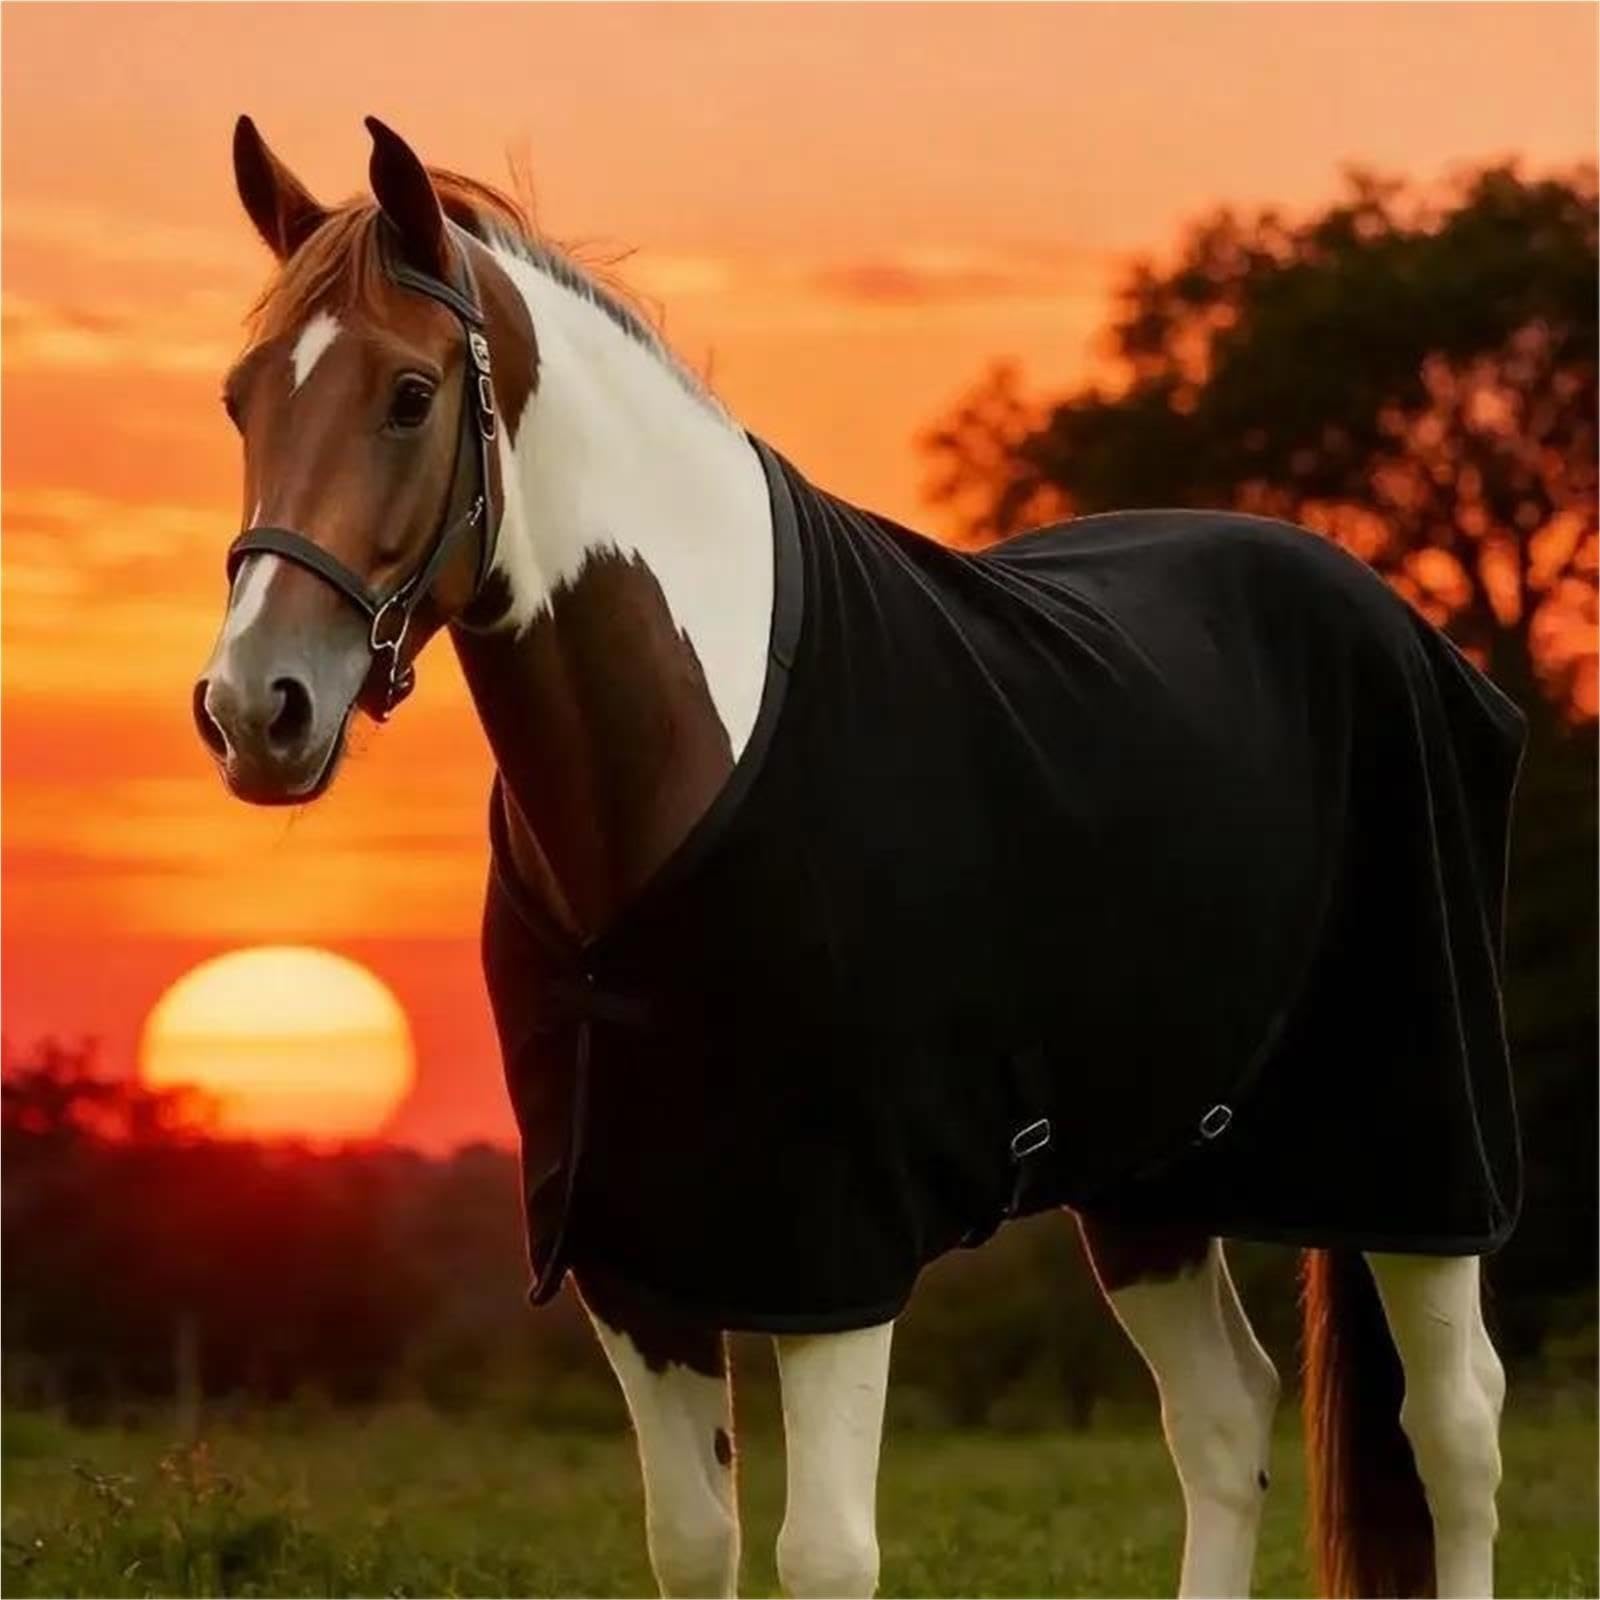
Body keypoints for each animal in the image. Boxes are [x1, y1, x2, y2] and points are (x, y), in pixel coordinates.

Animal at [196, 116, 1525, 1599]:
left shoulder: (833, 1249)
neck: (683, 762)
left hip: (1418, 1144)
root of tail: (1395, 622)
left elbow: (824, 1553)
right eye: (241, 401)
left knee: (1456, 1429)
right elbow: (694, 1545)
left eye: (412, 395)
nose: (255, 708)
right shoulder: (631, 1257)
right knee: (1225, 1417)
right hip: (1152, 1174)